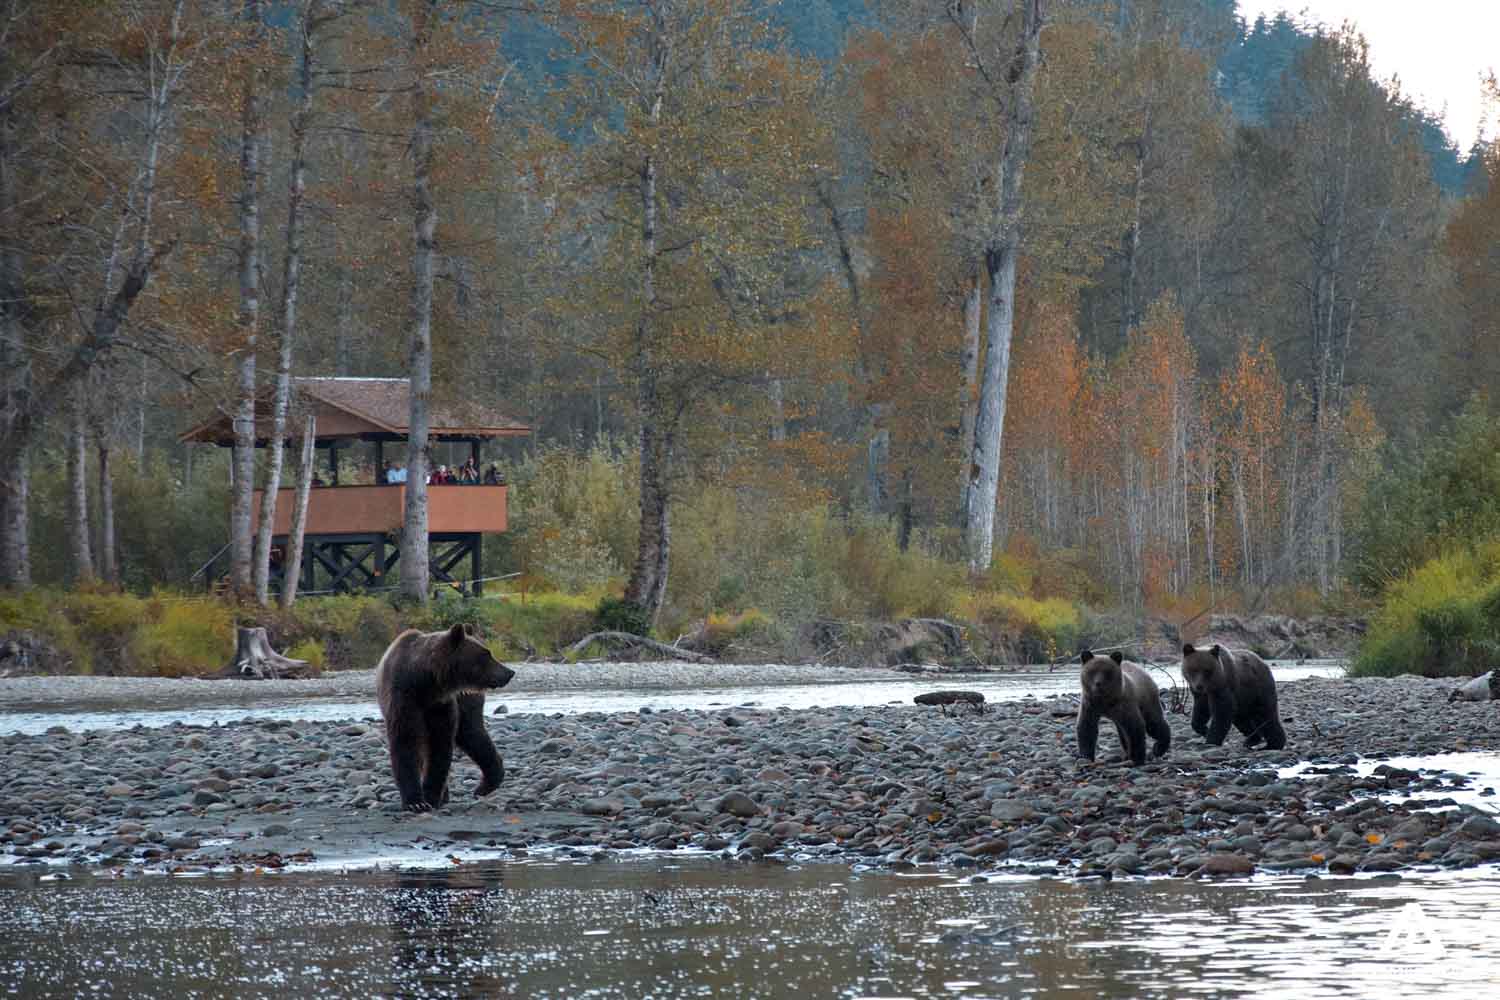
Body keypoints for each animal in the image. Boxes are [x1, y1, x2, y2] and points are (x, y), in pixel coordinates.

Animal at [375, 623, 516, 812]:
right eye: (486, 654)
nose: (509, 672)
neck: (427, 683)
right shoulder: (404, 699)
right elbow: (405, 743)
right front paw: (415, 802)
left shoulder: (441, 706)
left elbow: (440, 746)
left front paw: (431, 797)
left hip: (467, 702)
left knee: (472, 734)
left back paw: (484, 785)